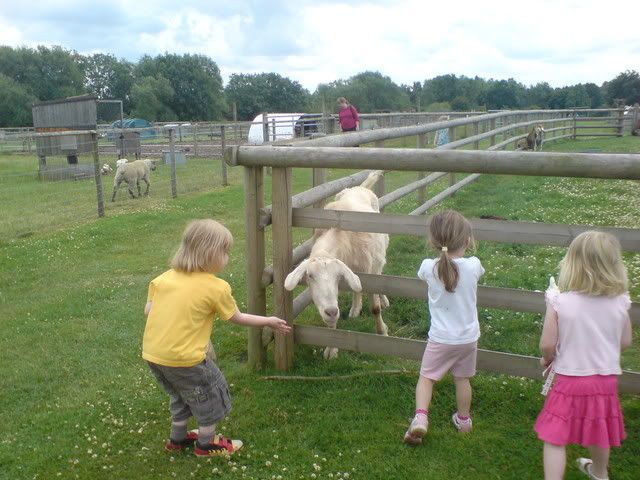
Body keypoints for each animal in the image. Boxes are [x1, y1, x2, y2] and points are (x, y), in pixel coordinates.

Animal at [286, 171, 390, 358]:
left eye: (336, 276)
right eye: (310, 276)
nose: (331, 312)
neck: (338, 234)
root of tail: (359, 187)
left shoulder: (369, 270)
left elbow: (375, 307)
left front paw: (382, 332)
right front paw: (331, 349)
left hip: (378, 259)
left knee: (380, 275)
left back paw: (383, 299)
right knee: (357, 289)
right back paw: (355, 309)